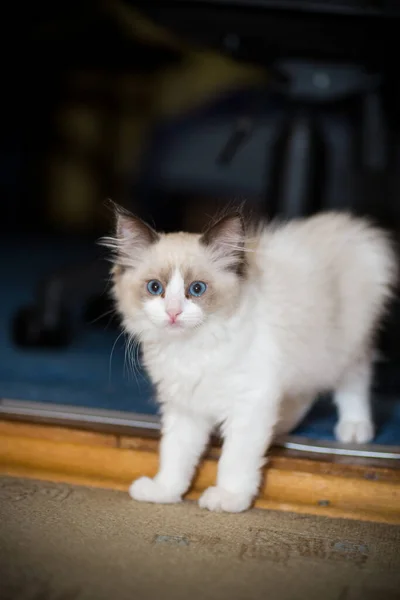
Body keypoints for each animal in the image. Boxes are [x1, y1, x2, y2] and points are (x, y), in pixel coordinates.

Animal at [103, 205, 396, 510]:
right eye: (154, 288)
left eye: (196, 289)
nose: (173, 313)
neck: (191, 348)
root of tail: (348, 227)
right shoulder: (185, 406)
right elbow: (175, 454)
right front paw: (164, 491)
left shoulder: (250, 401)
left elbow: (235, 459)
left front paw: (228, 498)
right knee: (304, 394)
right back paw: (281, 426)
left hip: (343, 348)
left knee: (355, 379)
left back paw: (355, 427)